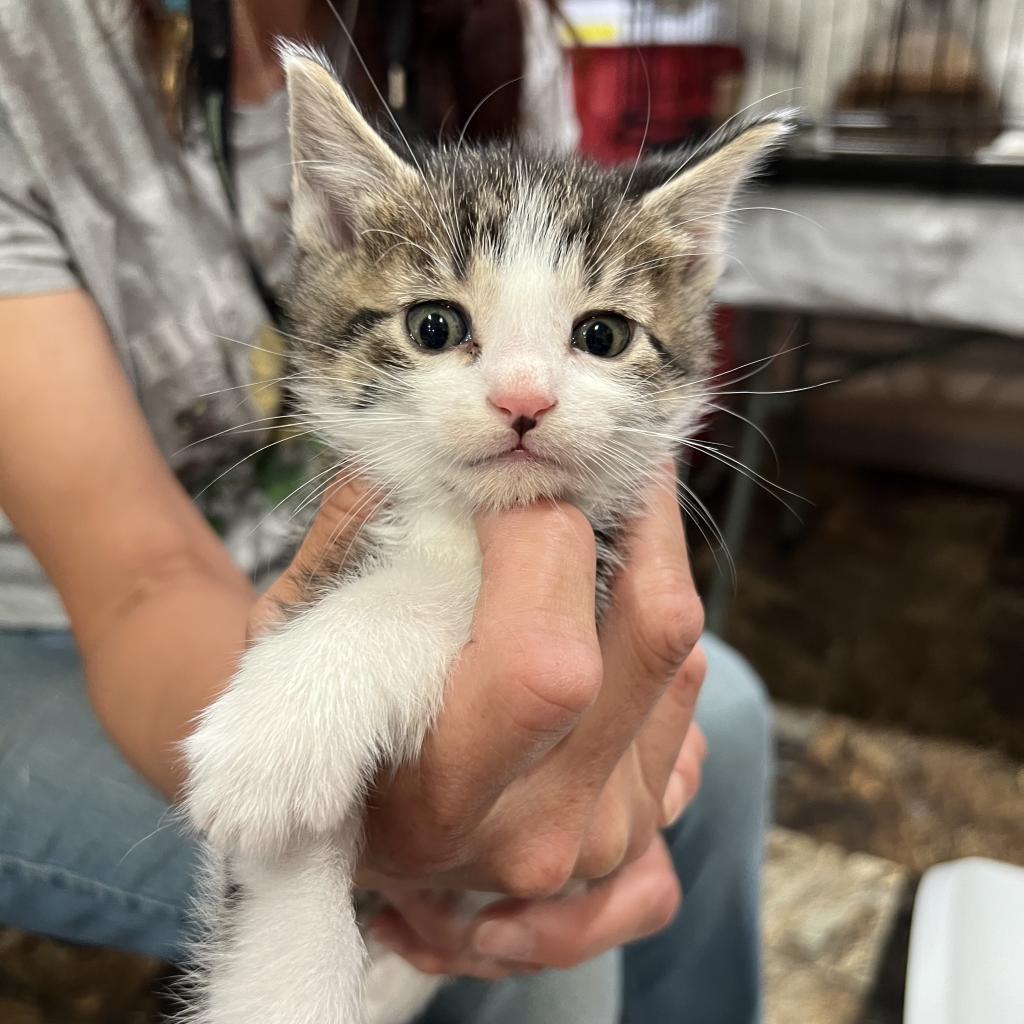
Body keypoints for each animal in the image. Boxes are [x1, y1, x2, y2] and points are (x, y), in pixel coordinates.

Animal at [182, 46, 790, 1024]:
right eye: (435, 326)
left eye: (603, 335)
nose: (524, 400)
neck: (465, 518)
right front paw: (288, 976)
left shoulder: (602, 556)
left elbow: (432, 596)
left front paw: (284, 718)